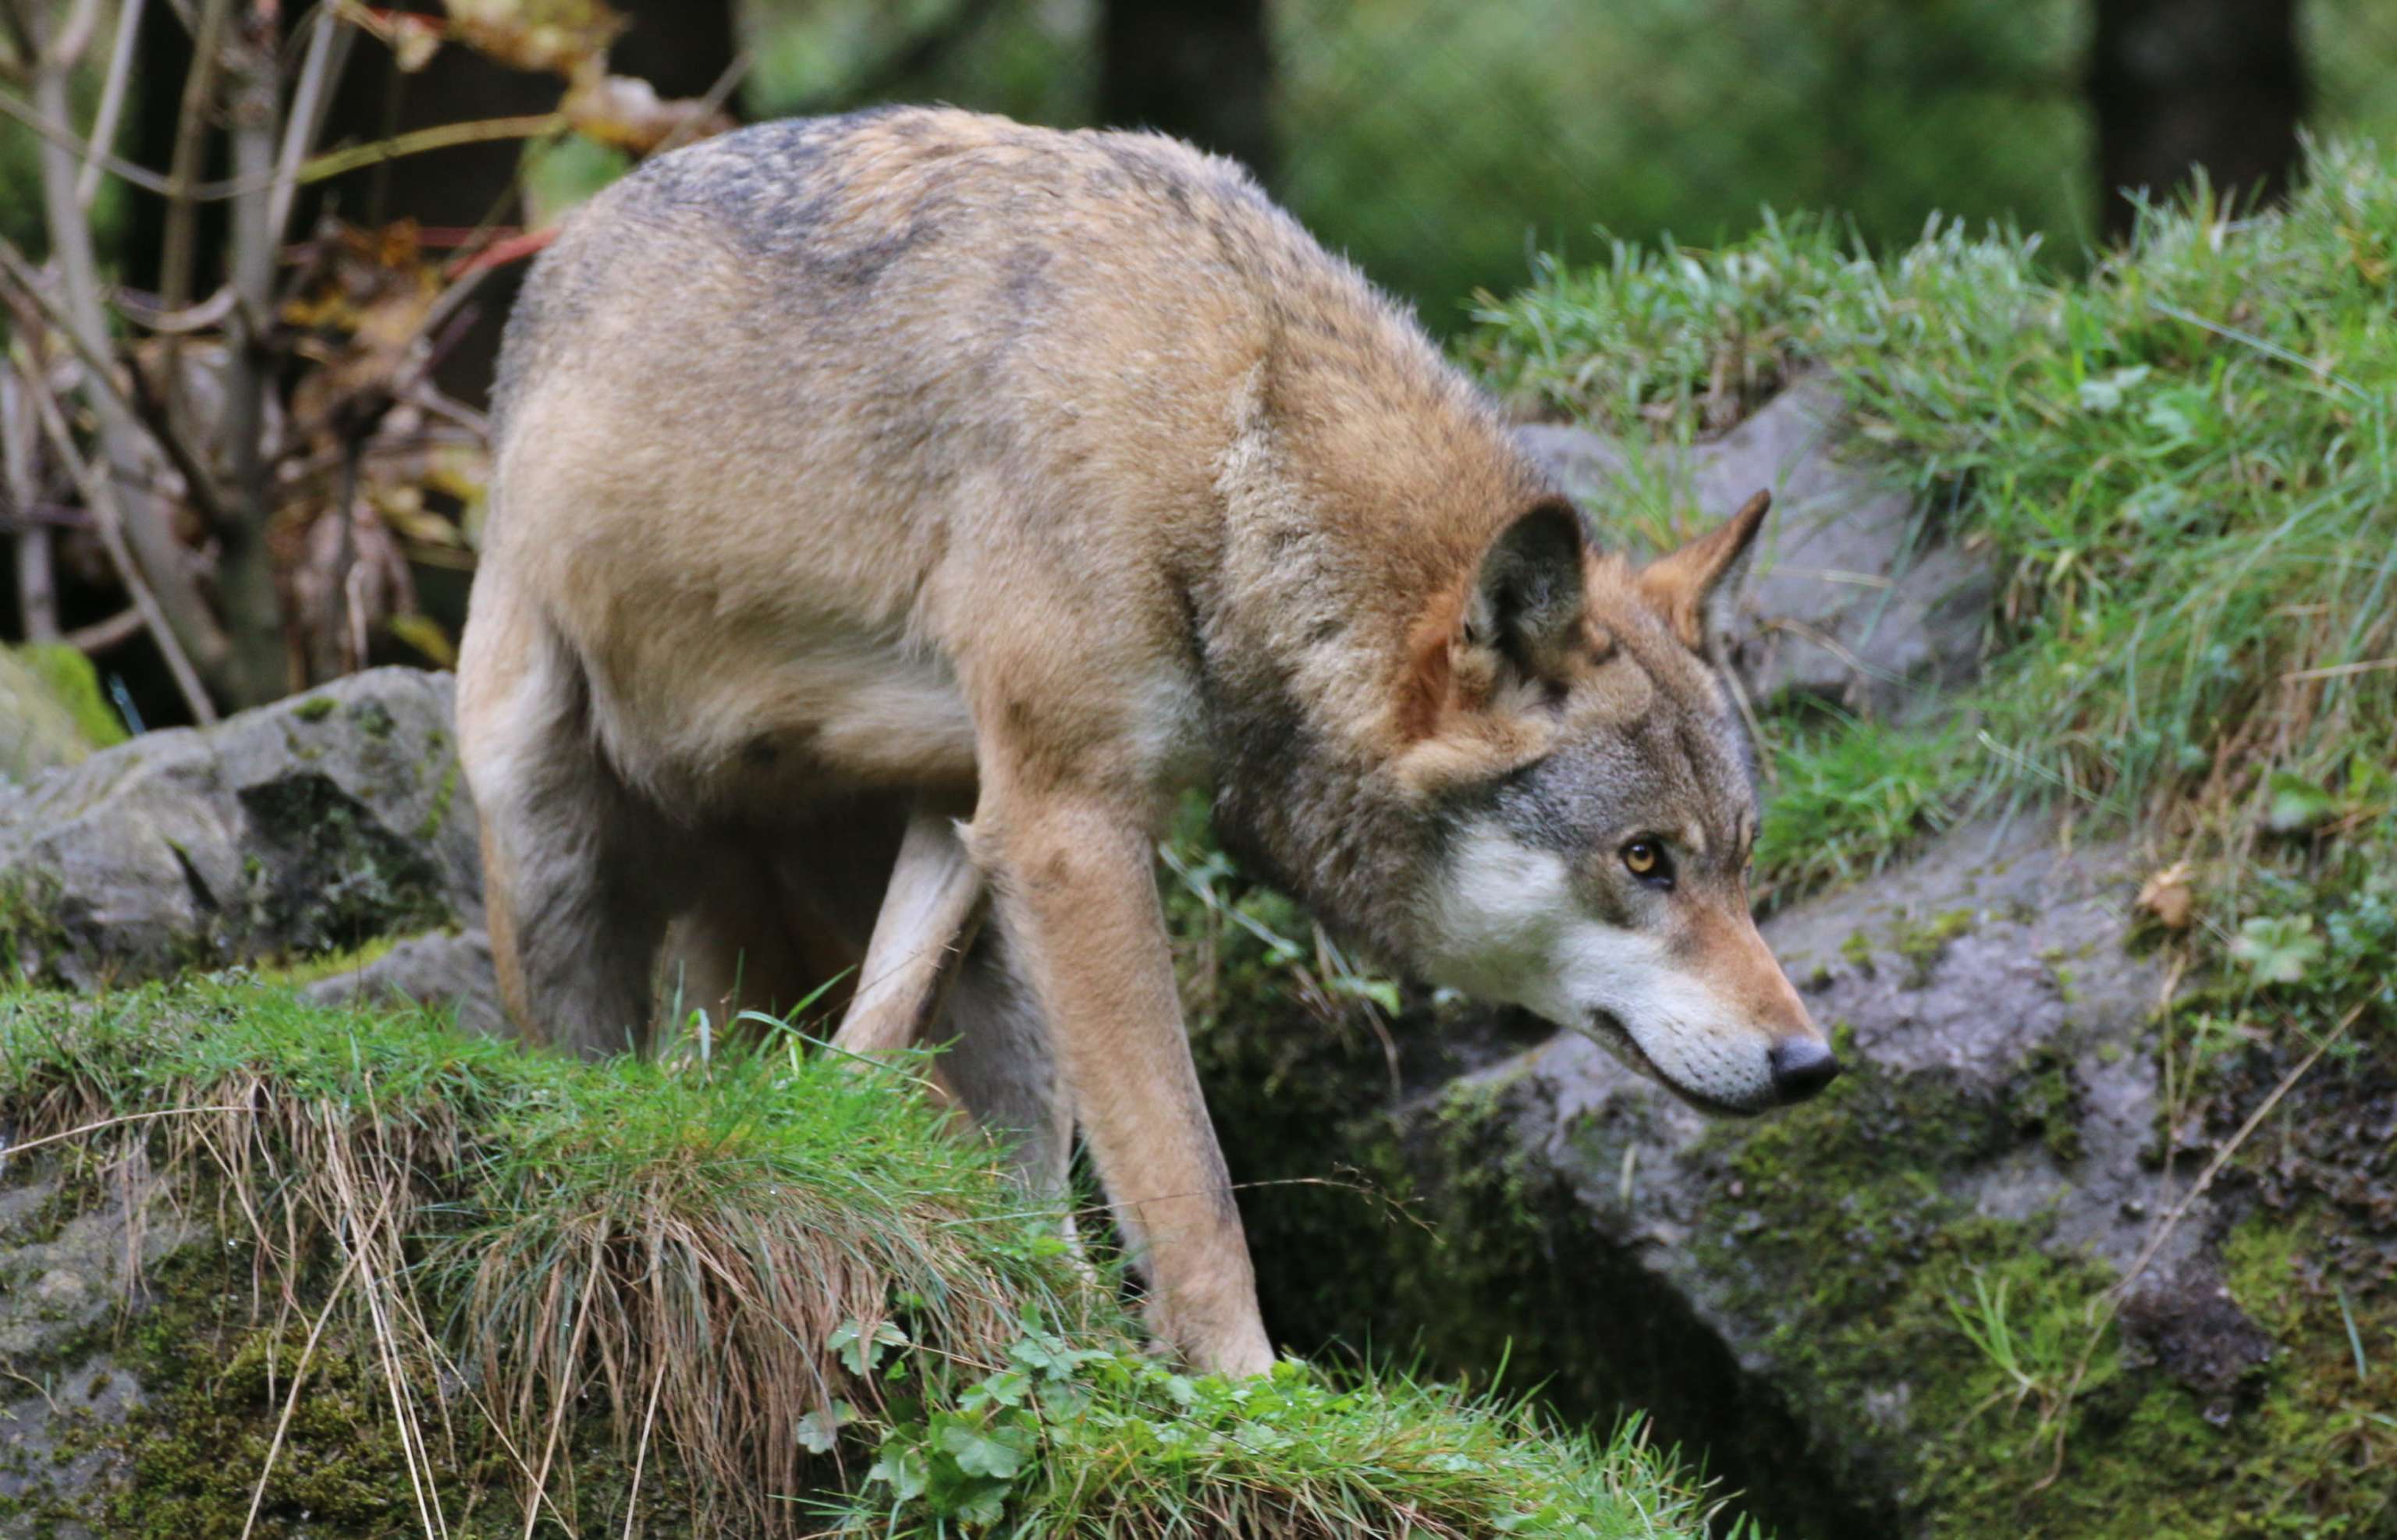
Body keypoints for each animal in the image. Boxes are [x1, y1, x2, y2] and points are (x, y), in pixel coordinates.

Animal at [455, 107, 1836, 1378]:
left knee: (892, 1072)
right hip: (551, 836)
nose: (1812, 1062)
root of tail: (567, 248)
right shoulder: (1074, 825)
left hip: (976, 911)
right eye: (1645, 858)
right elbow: (1191, 1180)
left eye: (1737, 861)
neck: (1228, 435)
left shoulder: (1003, 806)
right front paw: (1249, 1389)